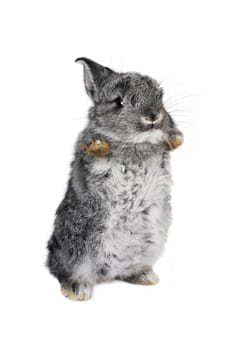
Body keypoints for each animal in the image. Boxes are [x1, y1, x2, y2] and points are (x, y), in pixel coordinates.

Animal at [46, 57, 184, 300]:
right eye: (118, 102)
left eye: (160, 96)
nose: (152, 117)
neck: (135, 144)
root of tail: (107, 274)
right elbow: (92, 143)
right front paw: (99, 145)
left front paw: (176, 138)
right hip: (77, 248)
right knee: (69, 273)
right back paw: (77, 291)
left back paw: (146, 277)